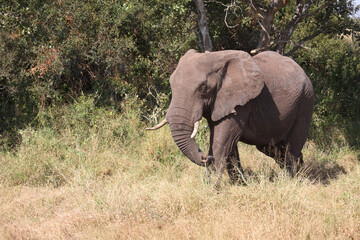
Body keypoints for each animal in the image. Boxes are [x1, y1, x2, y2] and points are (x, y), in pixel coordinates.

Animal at [148, 49, 314, 185]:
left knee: (292, 147)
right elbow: (228, 143)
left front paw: (210, 188)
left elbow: (223, 140)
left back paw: (290, 180)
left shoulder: (241, 102)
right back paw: (300, 170)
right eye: (171, 84)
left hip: (305, 102)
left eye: (203, 88)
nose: (205, 157)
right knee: (272, 148)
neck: (216, 58)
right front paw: (241, 184)